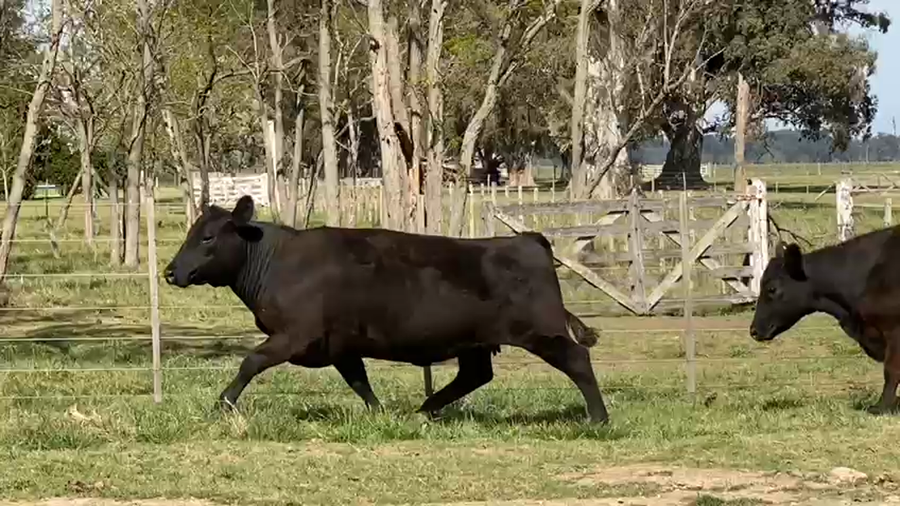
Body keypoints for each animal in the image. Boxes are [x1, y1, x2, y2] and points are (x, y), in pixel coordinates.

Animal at [163, 195, 609, 423]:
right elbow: (359, 381)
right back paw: (423, 411)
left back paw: (598, 418)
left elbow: (250, 362)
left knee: (577, 360)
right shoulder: (339, 344)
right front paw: (380, 415)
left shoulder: (294, 334)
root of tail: (528, 239)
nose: (170, 271)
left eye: (207, 237)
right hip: (475, 342)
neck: (280, 261)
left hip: (542, 332)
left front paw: (221, 405)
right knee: (475, 376)